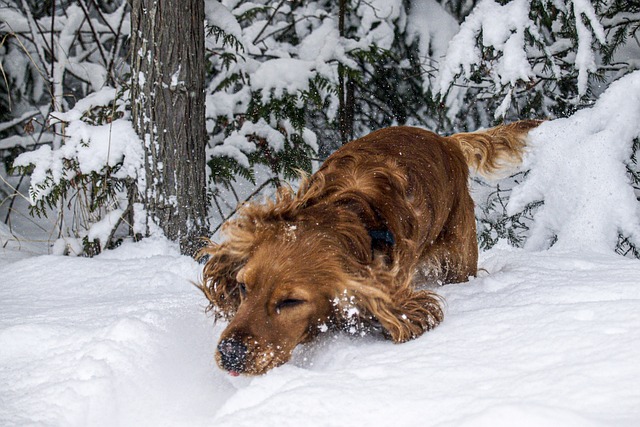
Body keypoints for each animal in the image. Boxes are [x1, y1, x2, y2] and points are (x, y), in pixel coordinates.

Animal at [199, 120, 540, 374]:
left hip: (459, 258)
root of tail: (447, 141)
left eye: (291, 301)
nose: (229, 353)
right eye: (243, 287)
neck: (346, 216)